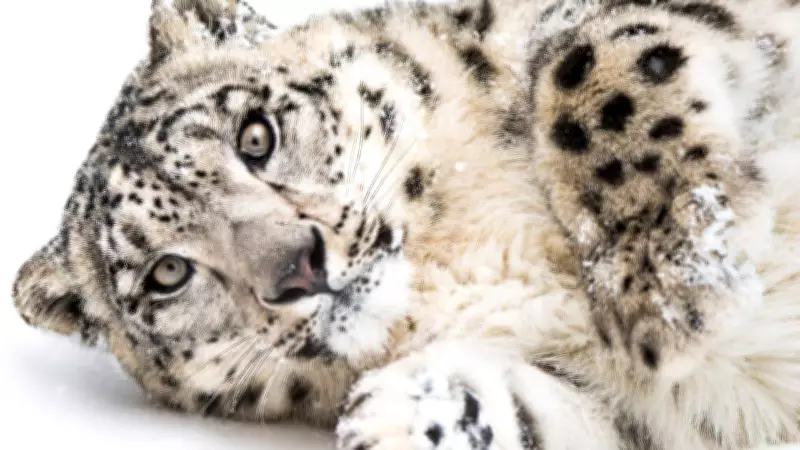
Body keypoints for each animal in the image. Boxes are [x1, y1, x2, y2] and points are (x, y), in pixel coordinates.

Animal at [11, 0, 800, 449]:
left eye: (255, 135)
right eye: (167, 273)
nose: (300, 267)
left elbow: (590, 57)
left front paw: (671, 280)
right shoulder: (621, 403)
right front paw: (409, 410)